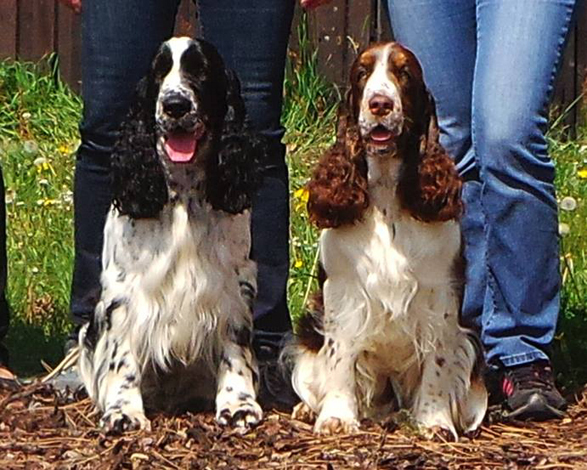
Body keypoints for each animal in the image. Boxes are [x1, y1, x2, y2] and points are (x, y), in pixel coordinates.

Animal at [78, 37, 266, 434]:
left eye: (201, 69)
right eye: (159, 72)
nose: (175, 105)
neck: (183, 193)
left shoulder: (235, 284)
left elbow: (235, 346)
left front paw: (238, 404)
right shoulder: (124, 289)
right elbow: (122, 356)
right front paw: (123, 410)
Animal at [288, 42, 486, 438]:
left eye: (404, 73)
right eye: (362, 73)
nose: (380, 103)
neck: (384, 196)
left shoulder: (439, 296)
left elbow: (438, 362)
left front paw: (435, 422)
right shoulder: (343, 293)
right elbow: (340, 355)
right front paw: (336, 417)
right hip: (308, 333)